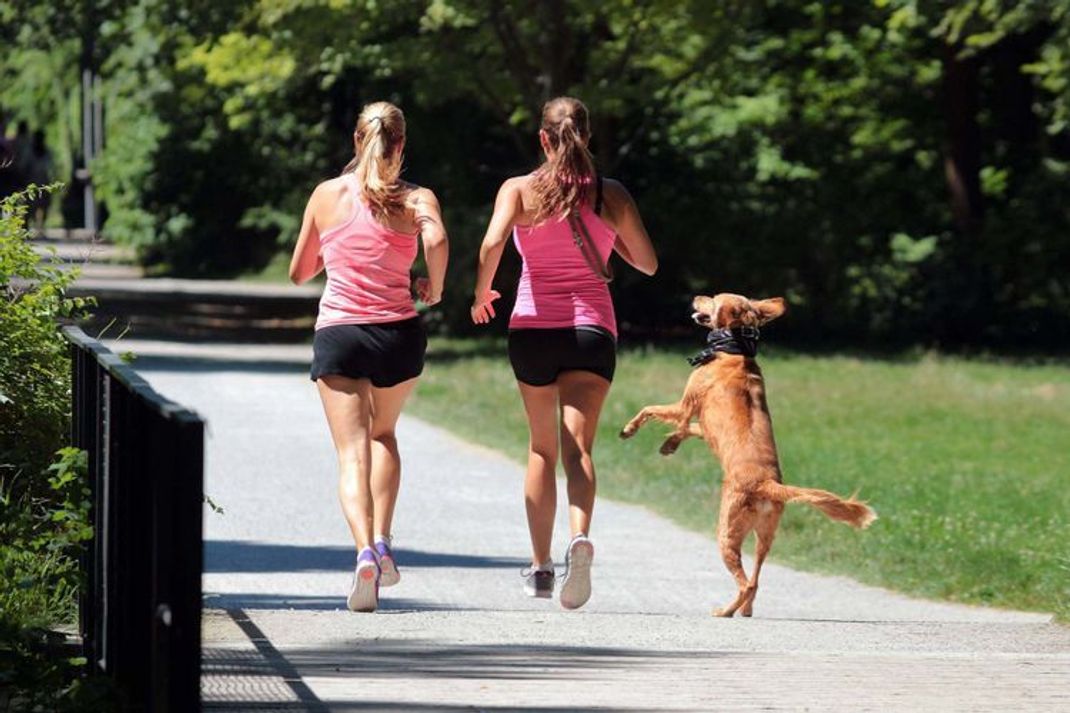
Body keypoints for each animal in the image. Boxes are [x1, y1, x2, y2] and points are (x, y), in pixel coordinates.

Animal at [624, 291, 873, 612]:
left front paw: (630, 429)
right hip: (765, 537)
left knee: (744, 583)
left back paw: (725, 612)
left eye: (713, 299)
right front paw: (670, 444)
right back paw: (744, 610)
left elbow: (652, 410)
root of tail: (768, 484)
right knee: (755, 581)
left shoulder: (685, 402)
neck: (734, 349)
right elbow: (687, 429)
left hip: (726, 532)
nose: (697, 295)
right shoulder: (704, 424)